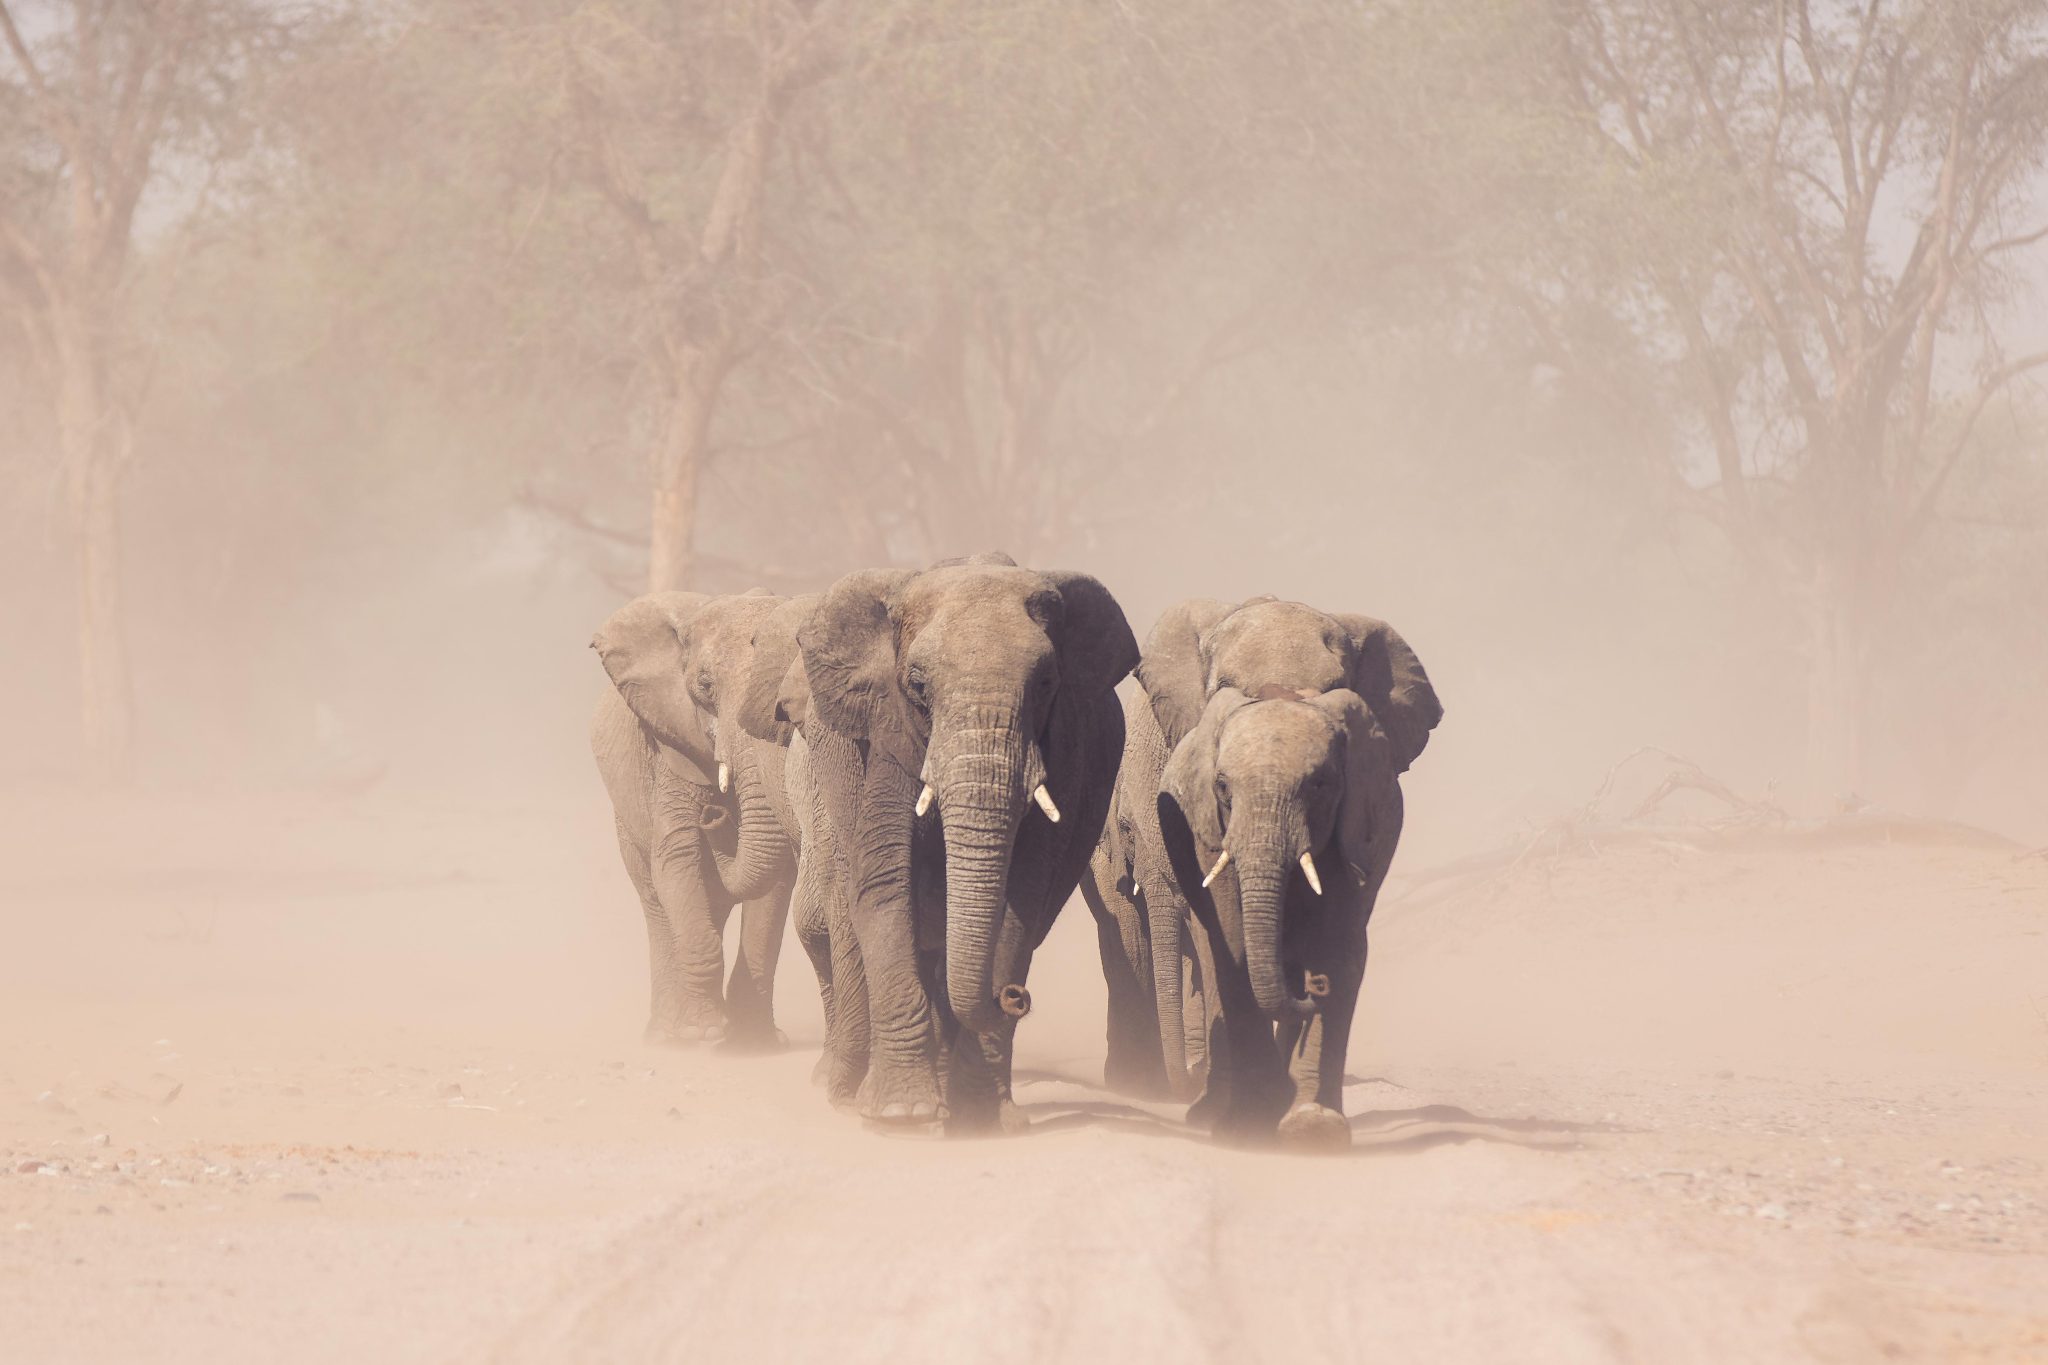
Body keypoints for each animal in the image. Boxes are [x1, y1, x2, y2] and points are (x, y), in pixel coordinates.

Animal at [589, 590, 803, 1049]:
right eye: (705, 687)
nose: (715, 815)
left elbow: (777, 877)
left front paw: (754, 1041)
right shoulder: (670, 747)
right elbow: (676, 857)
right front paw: (702, 1032)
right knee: (656, 901)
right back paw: (666, 1033)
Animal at [794, 554, 1137, 1131]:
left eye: (1046, 683)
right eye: (917, 686)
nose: (1016, 998)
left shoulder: (1064, 753)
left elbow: (1021, 902)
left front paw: (974, 1116)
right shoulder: (885, 737)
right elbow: (885, 883)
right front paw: (901, 1114)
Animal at [1084, 596, 1441, 1139]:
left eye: (1337, 687)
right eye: (1123, 831)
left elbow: (1338, 934)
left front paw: (1310, 1127)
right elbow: (1216, 938)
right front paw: (1244, 1117)